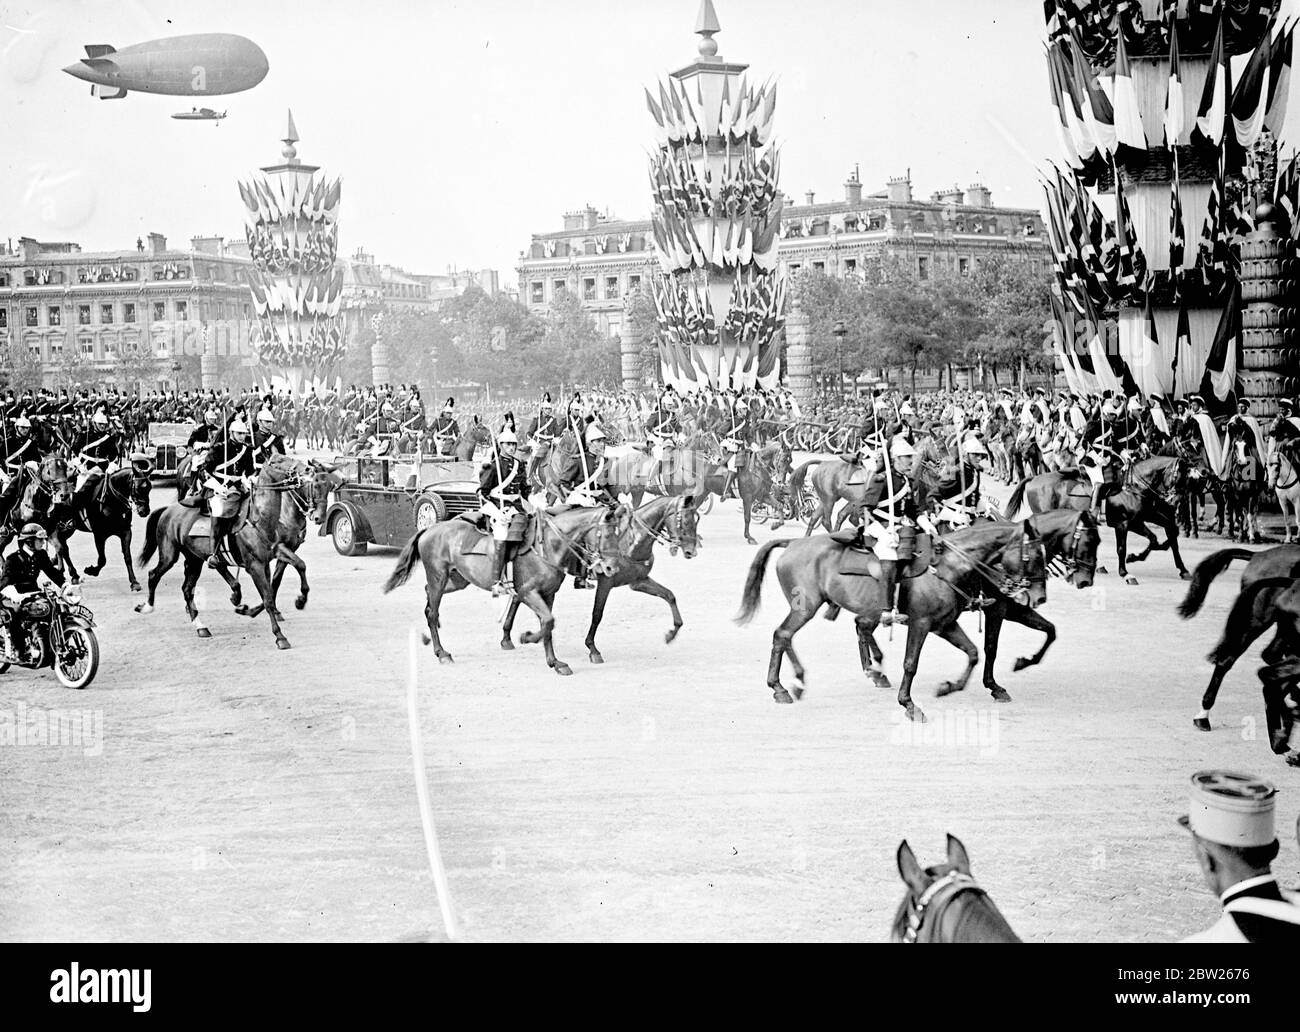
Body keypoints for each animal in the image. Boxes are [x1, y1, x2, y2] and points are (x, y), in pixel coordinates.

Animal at [132, 454, 332, 647]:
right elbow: (268, 597)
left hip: (195, 560)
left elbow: (297, 567)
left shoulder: (277, 552)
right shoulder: (255, 566)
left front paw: (300, 600)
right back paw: (147, 607)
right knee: (154, 575)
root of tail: (169, 509)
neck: (262, 518)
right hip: (169, 556)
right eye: (279, 461)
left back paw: (201, 625)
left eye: (329, 487)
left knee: (188, 589)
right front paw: (279, 636)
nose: (307, 470)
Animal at [379, 501, 626, 675]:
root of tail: (431, 528)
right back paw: (442, 652)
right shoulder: (528, 592)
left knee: (428, 596)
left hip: (457, 580)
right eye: (606, 534)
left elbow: (548, 625)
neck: (546, 545)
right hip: (438, 577)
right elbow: (547, 622)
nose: (611, 568)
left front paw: (554, 662)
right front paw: (527, 638)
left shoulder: (548, 594)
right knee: (432, 611)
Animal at [738, 519, 1050, 717]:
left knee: (791, 636)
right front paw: (909, 704)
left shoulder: (945, 625)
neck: (949, 567)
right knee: (783, 635)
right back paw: (784, 685)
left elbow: (973, 653)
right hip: (805, 608)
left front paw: (949, 687)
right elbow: (911, 664)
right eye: (1033, 556)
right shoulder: (921, 624)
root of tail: (793, 543)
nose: (1038, 597)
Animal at [998, 454, 1190, 582]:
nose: (1176, 502)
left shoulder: (1145, 516)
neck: (1134, 485)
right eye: (1179, 477)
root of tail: (1034, 478)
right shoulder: (1126, 523)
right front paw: (1126, 569)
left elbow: (1163, 536)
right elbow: (1126, 547)